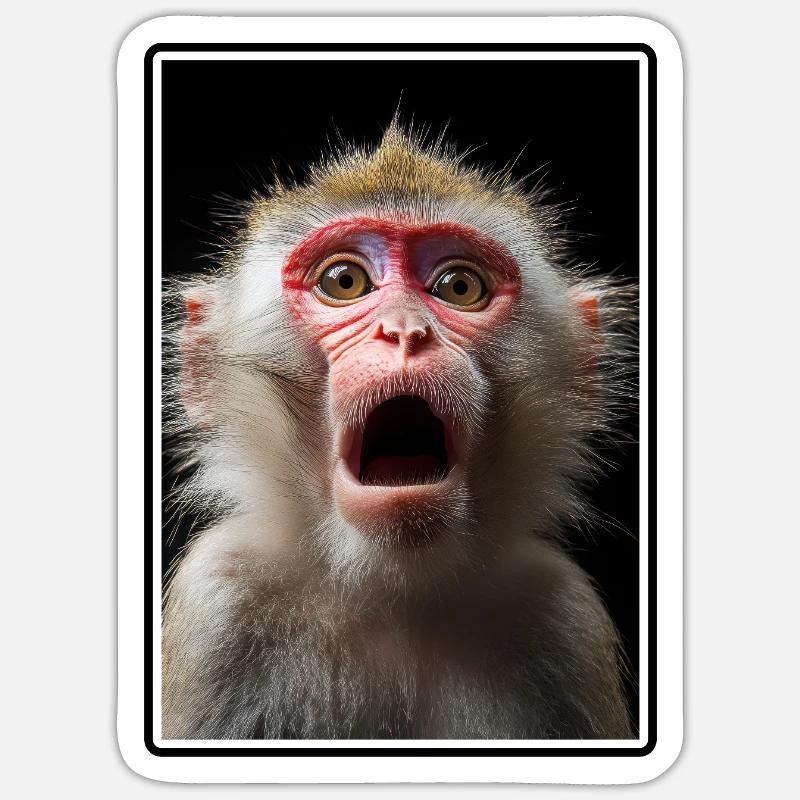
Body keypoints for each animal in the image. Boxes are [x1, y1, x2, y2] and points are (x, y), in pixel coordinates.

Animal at [161, 120, 638, 740]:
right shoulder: (219, 599)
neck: (393, 587)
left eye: (459, 287)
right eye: (345, 281)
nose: (406, 331)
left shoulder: (564, 617)